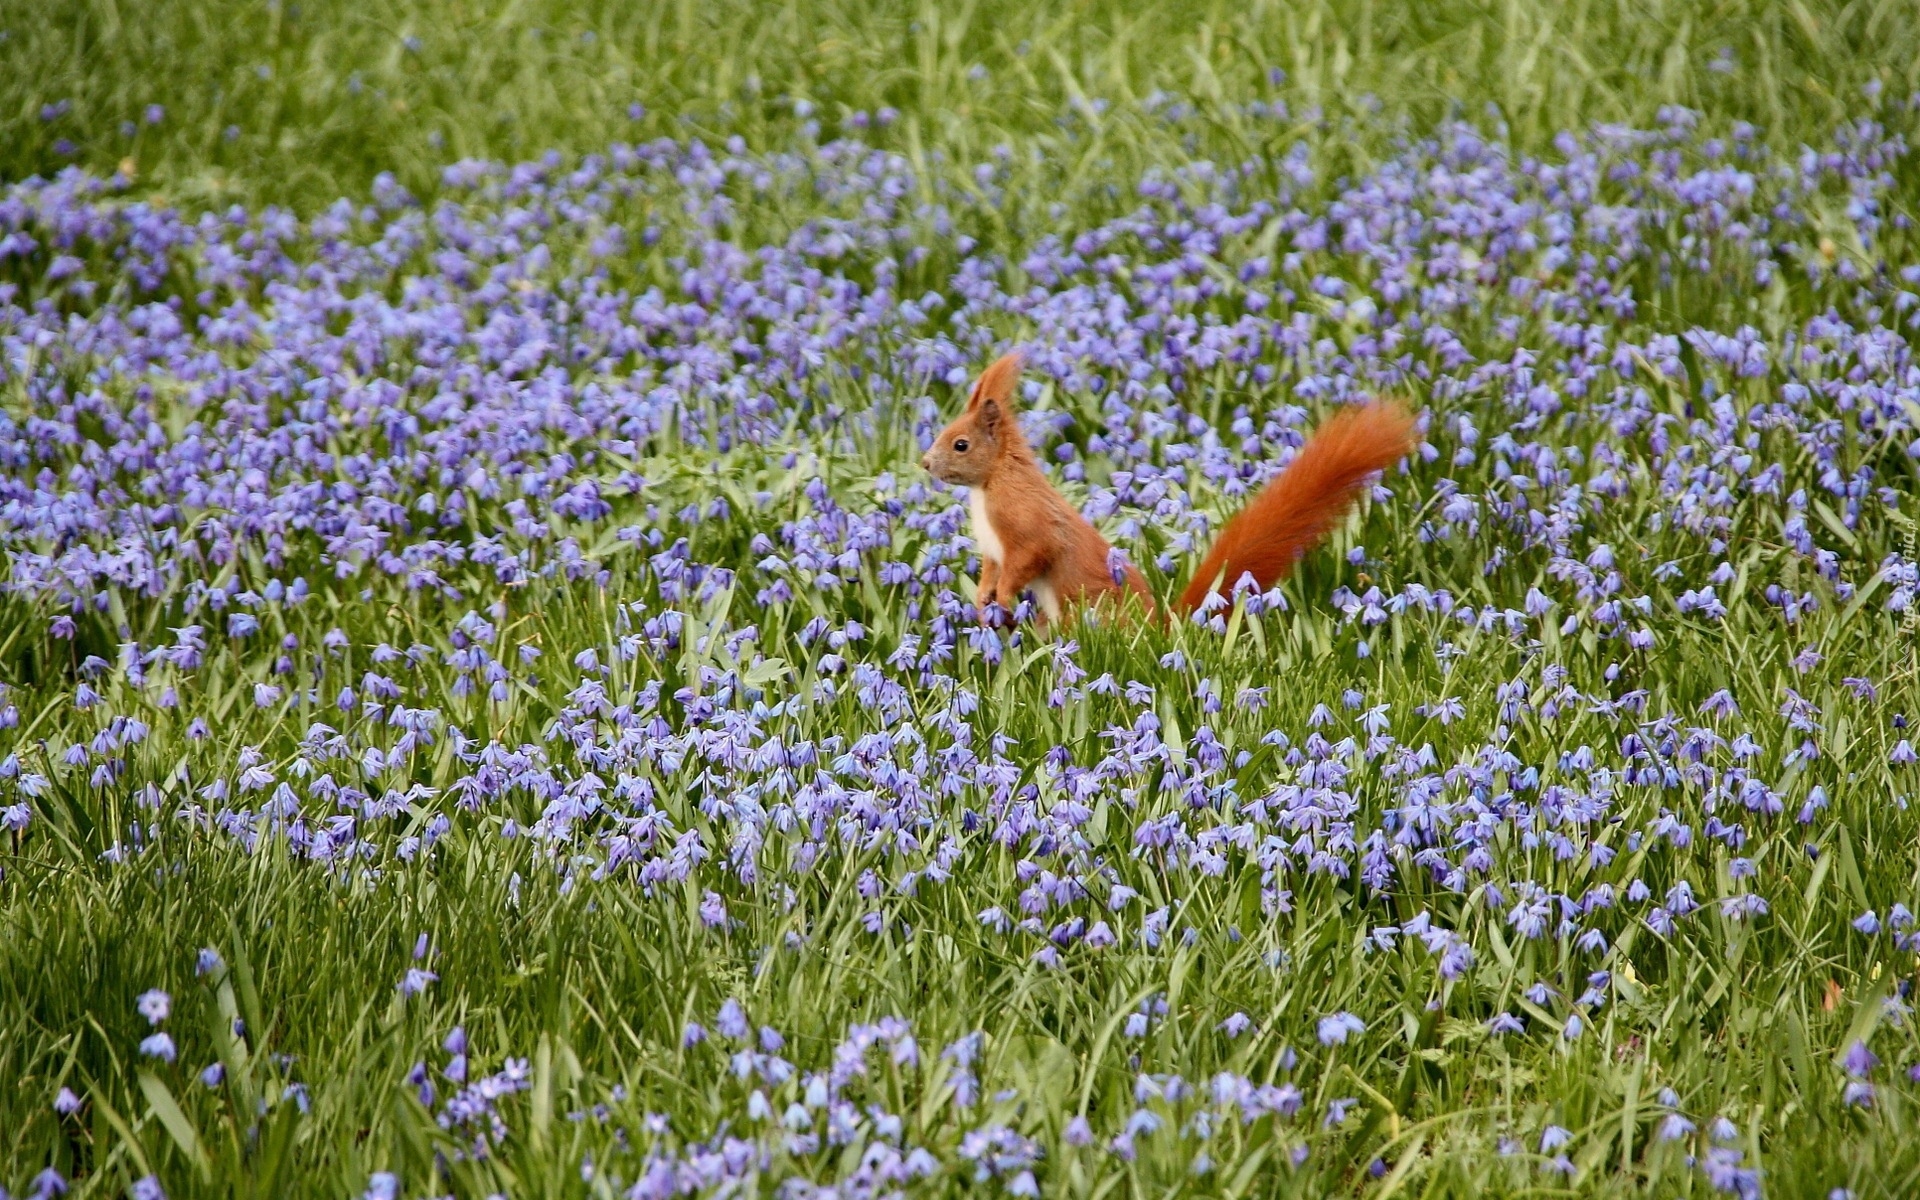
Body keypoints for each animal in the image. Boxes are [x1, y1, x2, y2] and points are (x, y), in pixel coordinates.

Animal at [921, 353, 1420, 625]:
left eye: (961, 444)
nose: (925, 463)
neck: (990, 486)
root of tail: (1160, 632)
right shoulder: (993, 547)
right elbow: (991, 570)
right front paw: (983, 598)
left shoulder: (1024, 523)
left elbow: (1030, 557)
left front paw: (1004, 598)